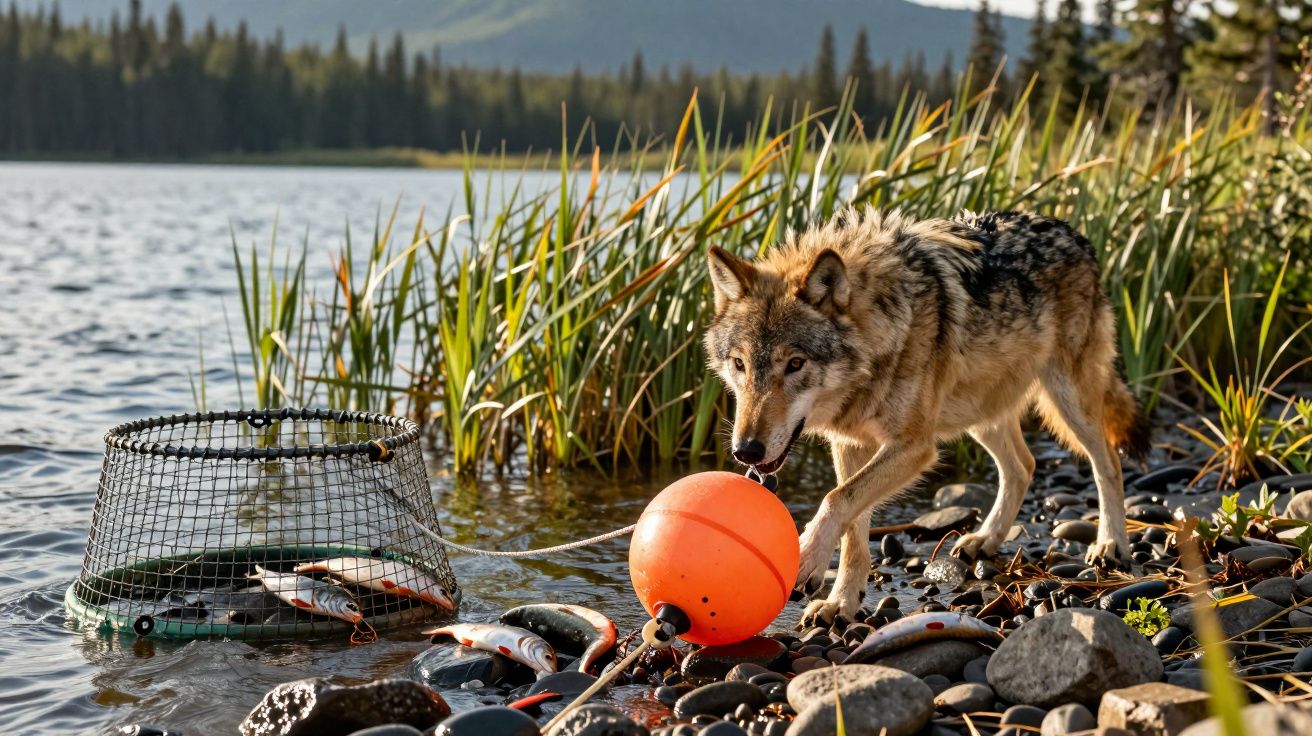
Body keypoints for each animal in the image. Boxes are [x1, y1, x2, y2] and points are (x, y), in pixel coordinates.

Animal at [703, 207, 1150, 626]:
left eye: (795, 364)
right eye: (740, 365)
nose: (746, 451)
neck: (883, 329)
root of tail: (1071, 231)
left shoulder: (915, 446)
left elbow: (835, 499)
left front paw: (808, 558)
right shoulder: (850, 444)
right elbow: (854, 529)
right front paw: (841, 604)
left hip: (1068, 401)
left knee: (1107, 463)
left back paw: (1112, 545)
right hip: (979, 413)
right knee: (1023, 466)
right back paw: (986, 539)